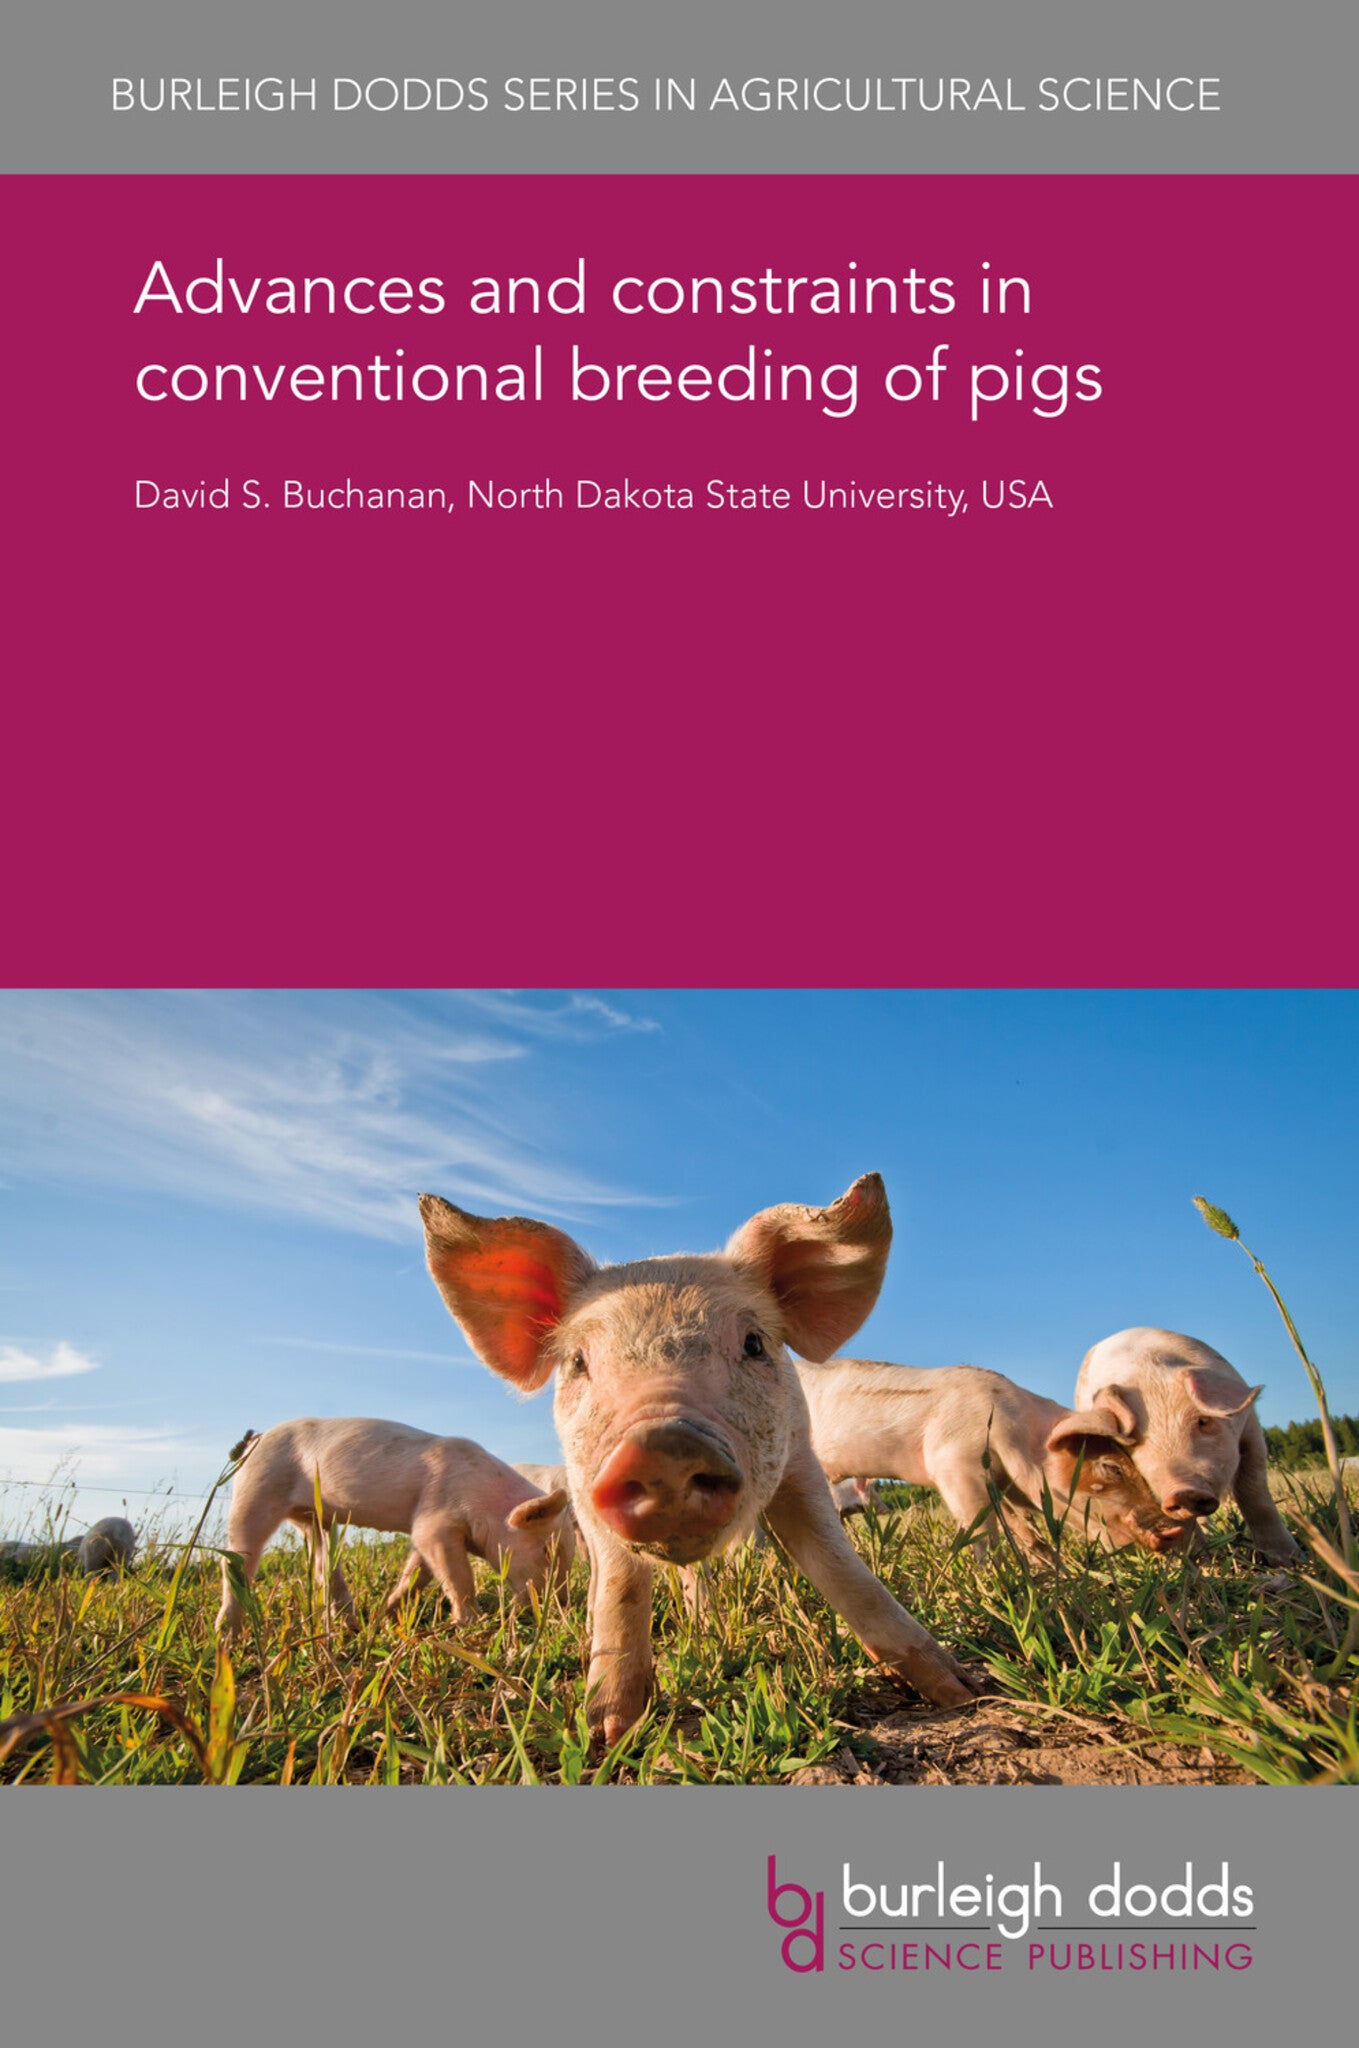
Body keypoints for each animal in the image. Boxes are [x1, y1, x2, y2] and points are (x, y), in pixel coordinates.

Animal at [214, 1417, 571, 1636]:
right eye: (546, 1550)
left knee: (323, 1564)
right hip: (256, 1488)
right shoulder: (435, 1518)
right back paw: (226, 1634)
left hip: (314, 1518)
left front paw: (386, 1615)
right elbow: (458, 1576)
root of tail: (256, 1439)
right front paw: (471, 1622)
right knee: (236, 1559)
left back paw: (352, 1623)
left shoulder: (427, 1532)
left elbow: (417, 1572)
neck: (485, 1501)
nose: (564, 1605)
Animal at [418, 1174, 979, 1747]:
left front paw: (960, 1691)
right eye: (577, 1361)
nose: (661, 1444)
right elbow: (621, 1586)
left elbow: (840, 1565)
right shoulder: (584, 1487)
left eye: (754, 1343)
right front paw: (609, 1733)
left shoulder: (800, 1458)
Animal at [798, 1359, 1189, 1556]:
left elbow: (1027, 1532)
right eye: (1111, 1467)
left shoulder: (1001, 1482)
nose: (1176, 1532)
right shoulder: (952, 1464)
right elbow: (984, 1532)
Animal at [1074, 1328, 1299, 1563]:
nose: (1182, 1492)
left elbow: (1254, 1492)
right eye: (1134, 1443)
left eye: (1203, 1421)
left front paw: (1288, 1561)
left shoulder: (1250, 1428)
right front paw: (1201, 1560)